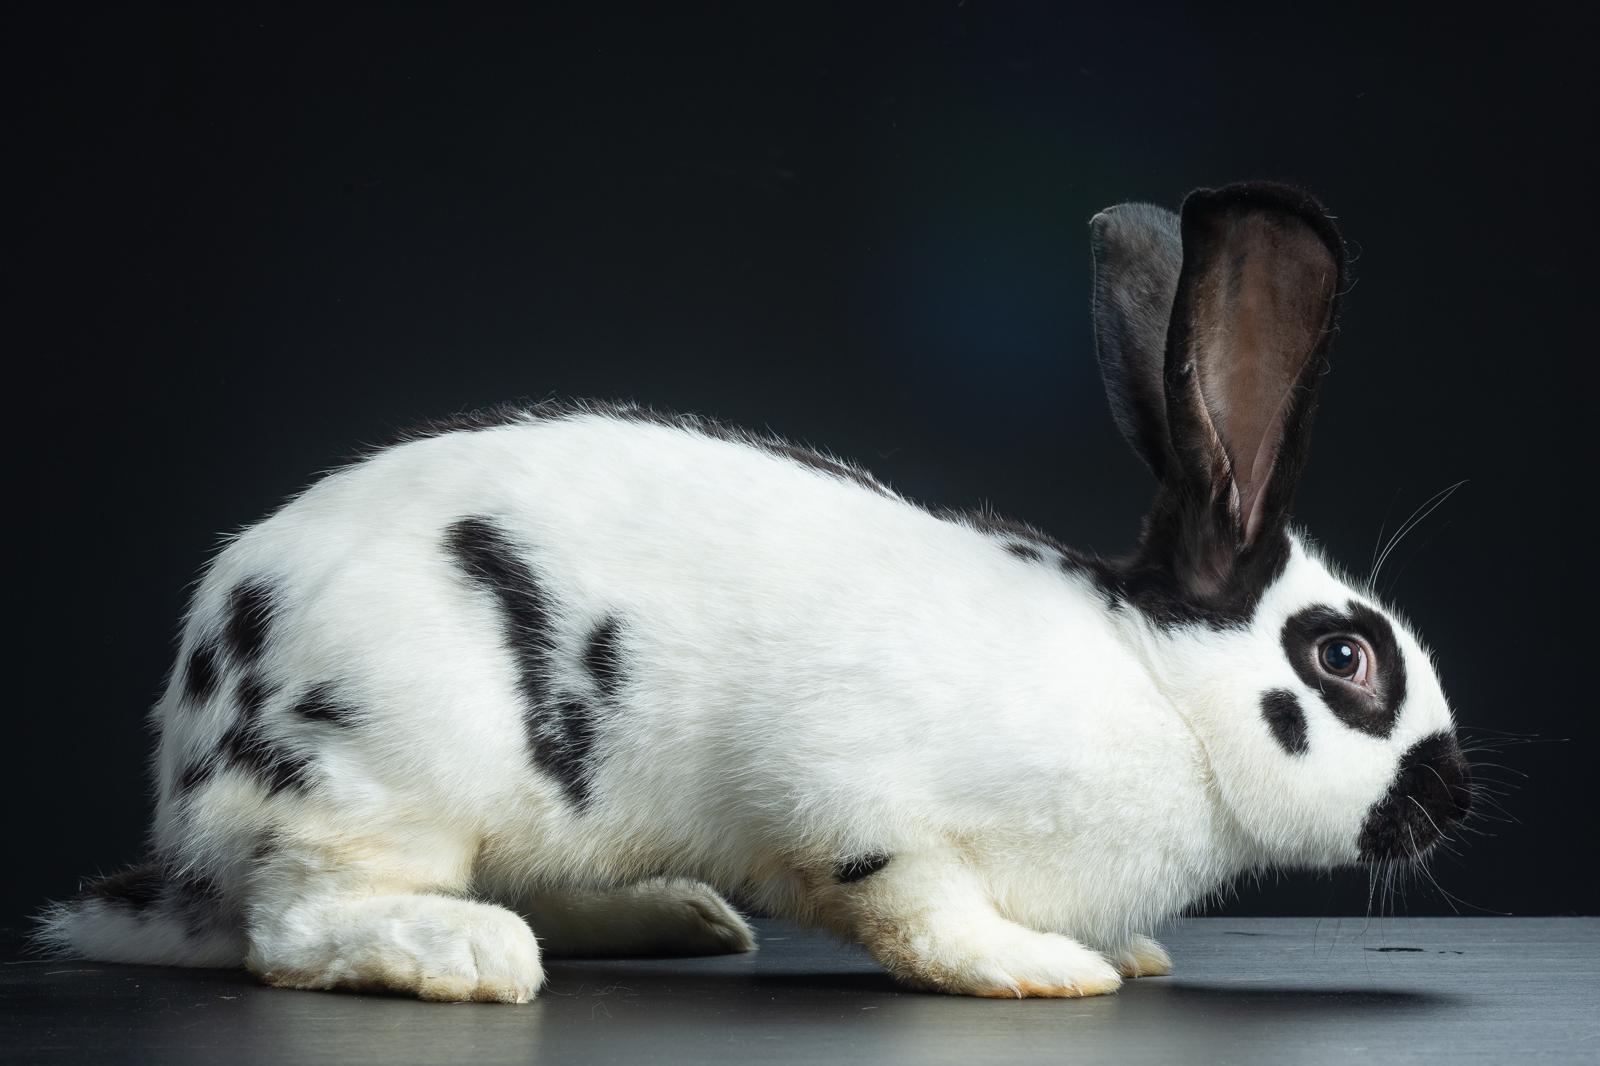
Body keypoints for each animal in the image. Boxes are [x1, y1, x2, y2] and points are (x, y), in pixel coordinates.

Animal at [37, 181, 1473, 1002]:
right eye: (1344, 660)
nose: (1452, 801)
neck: (1158, 689)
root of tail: (191, 771)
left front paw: (1122, 951)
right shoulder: (860, 800)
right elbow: (921, 910)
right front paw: (1048, 970)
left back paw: (673, 916)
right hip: (384, 776)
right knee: (293, 926)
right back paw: (470, 956)